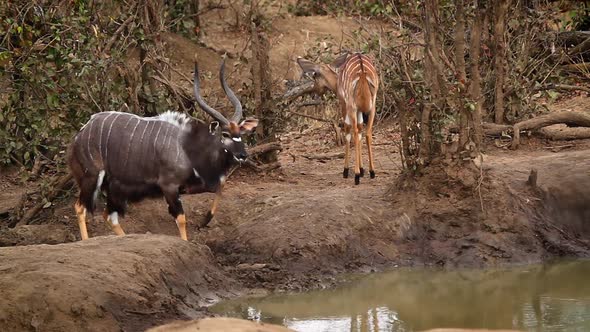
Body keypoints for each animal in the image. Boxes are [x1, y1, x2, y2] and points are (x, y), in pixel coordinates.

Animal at [68, 57, 258, 241]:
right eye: (225, 134)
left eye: (240, 133)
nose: (242, 155)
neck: (188, 146)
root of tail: (81, 133)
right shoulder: (169, 186)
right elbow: (181, 218)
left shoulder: (192, 186)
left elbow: (221, 184)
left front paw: (205, 219)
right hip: (92, 177)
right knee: (80, 207)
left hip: (115, 189)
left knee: (109, 215)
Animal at [298, 53, 382, 185]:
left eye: (315, 75)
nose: (313, 93)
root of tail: (363, 72)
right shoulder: (360, 110)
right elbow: (360, 129)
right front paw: (362, 170)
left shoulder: (344, 104)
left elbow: (348, 130)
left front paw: (347, 171)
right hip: (372, 106)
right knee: (367, 132)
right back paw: (372, 172)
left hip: (352, 106)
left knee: (354, 131)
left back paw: (356, 176)